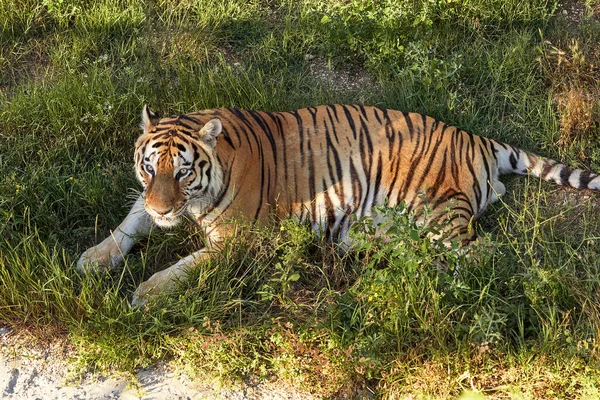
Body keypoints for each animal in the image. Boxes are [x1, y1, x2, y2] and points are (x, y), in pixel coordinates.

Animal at [77, 104, 596, 306]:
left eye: (183, 172)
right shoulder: (146, 203)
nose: (165, 210)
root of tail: (479, 140)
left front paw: (147, 291)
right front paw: (93, 259)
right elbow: (128, 223)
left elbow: (185, 265)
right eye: (149, 168)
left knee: (486, 257)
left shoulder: (239, 239)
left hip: (438, 217)